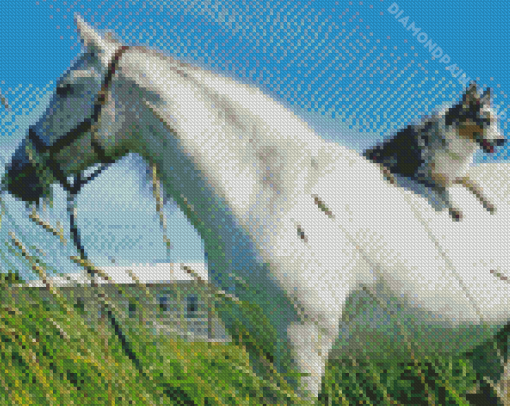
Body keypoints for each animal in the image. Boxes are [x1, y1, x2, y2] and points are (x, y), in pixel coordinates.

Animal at [364, 82, 504, 220]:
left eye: (495, 121)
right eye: (485, 121)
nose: (503, 140)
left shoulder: (457, 173)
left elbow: (475, 184)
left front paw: (489, 203)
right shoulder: (421, 174)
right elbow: (442, 188)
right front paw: (454, 208)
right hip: (388, 154)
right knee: (376, 161)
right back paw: (389, 175)